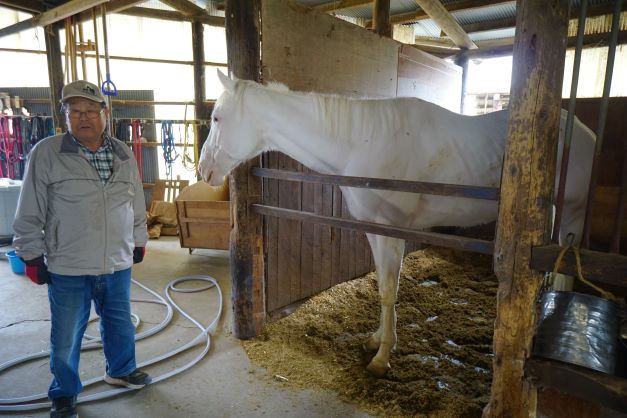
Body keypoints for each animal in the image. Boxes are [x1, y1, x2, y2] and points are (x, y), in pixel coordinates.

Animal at [199, 70, 596, 378]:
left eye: (217, 117)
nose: (203, 170)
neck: (362, 141)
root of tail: (580, 129)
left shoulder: (393, 230)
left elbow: (390, 289)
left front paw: (381, 358)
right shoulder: (375, 230)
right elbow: (381, 287)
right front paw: (376, 340)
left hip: (573, 213)